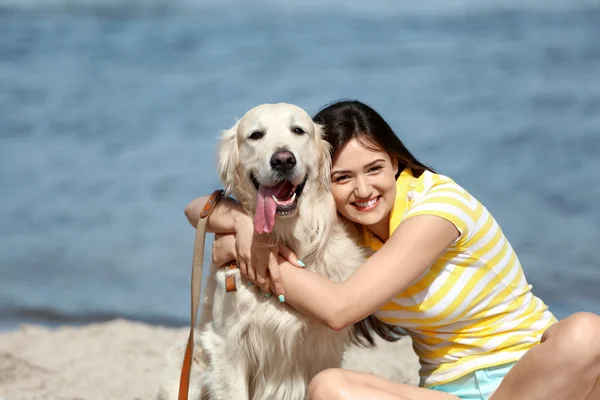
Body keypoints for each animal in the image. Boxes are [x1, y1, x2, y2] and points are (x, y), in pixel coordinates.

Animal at [157, 103, 368, 400]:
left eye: (298, 130)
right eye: (256, 135)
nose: (283, 160)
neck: (285, 238)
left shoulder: (324, 352)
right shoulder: (228, 347)